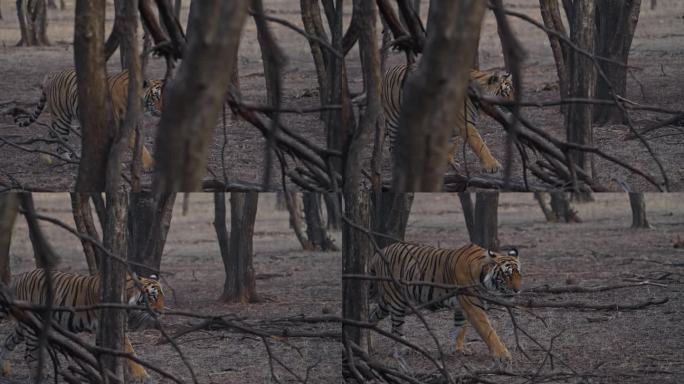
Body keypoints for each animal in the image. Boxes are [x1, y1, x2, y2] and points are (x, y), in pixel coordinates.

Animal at [0, 268, 164, 382]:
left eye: (162, 296)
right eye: (153, 297)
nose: (162, 311)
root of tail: (19, 277)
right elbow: (130, 352)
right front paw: (142, 376)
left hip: (25, 324)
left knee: (8, 342)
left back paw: (5, 369)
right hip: (32, 326)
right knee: (29, 355)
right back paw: (39, 376)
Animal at [14, 68, 164, 171]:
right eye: (155, 97)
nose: (162, 112)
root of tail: (52, 76)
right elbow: (139, 146)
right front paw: (150, 165)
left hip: (59, 118)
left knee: (51, 134)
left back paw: (46, 158)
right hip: (62, 119)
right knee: (60, 142)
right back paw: (67, 161)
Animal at [368, 243, 520, 366]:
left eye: (519, 274)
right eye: (507, 275)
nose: (517, 290)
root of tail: (379, 252)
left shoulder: (461, 307)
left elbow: (460, 327)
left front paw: (457, 349)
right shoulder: (473, 307)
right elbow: (489, 331)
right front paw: (503, 356)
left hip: (386, 302)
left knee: (372, 315)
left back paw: (370, 340)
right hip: (397, 299)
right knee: (397, 327)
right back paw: (403, 349)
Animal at [380, 64, 512, 172]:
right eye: (505, 92)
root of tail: (388, 70)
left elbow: (451, 145)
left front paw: (449, 163)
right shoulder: (465, 124)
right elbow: (480, 145)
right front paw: (492, 165)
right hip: (394, 119)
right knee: (392, 146)